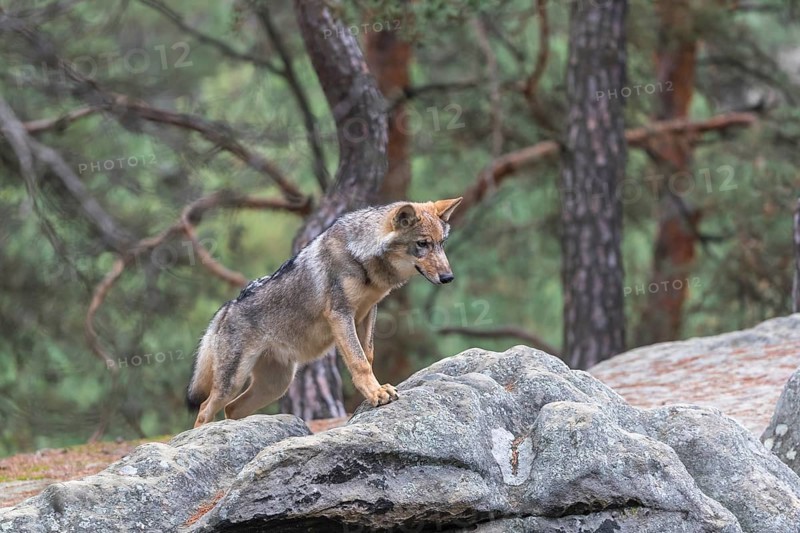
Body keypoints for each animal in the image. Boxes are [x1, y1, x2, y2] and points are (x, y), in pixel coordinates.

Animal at [187, 197, 463, 427]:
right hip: (233, 383)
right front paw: (376, 393)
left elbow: (368, 355)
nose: (448, 277)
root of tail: (226, 307)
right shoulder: (340, 314)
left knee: (231, 410)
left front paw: (374, 390)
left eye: (441, 244)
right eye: (422, 244)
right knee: (204, 408)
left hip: (276, 385)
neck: (362, 258)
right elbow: (359, 362)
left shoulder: (366, 313)